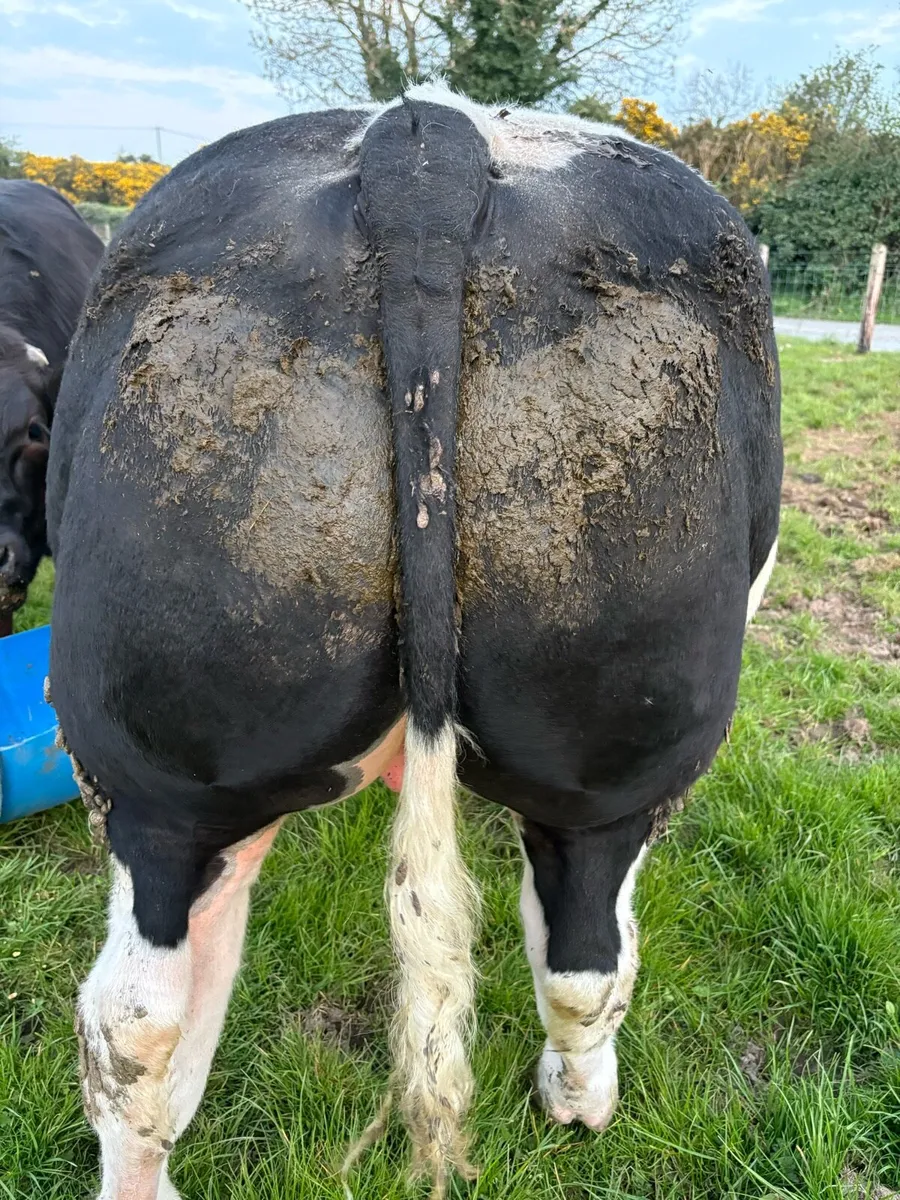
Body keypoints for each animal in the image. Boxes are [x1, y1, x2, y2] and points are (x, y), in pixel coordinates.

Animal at [46, 83, 782, 1200]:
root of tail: (424, 151)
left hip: (164, 764)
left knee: (137, 1011)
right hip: (621, 767)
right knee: (589, 958)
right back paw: (580, 1106)